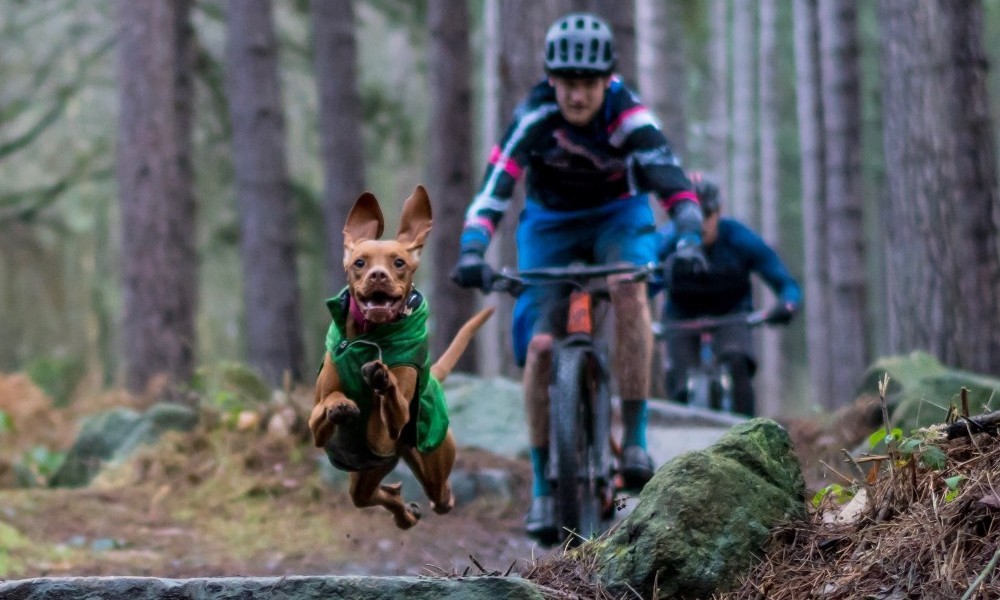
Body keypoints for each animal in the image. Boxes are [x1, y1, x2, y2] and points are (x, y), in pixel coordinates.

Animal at [304, 185, 492, 528]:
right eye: (360, 262)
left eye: (399, 262)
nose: (378, 275)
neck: (368, 335)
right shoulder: (317, 429)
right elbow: (327, 403)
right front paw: (340, 405)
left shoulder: (384, 433)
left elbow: (388, 407)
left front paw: (382, 377)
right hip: (367, 473)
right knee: (367, 496)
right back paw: (403, 510)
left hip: (428, 462)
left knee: (442, 497)